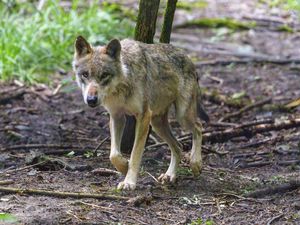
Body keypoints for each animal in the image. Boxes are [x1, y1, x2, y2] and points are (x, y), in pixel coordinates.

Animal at [72, 36, 209, 191]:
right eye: (85, 74)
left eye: (104, 75)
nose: (91, 100)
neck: (123, 83)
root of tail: (188, 58)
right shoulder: (116, 117)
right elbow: (114, 155)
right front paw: (124, 167)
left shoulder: (143, 117)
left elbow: (135, 154)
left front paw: (129, 182)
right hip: (157, 124)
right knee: (178, 146)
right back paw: (170, 175)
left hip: (181, 116)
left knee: (198, 127)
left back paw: (195, 164)